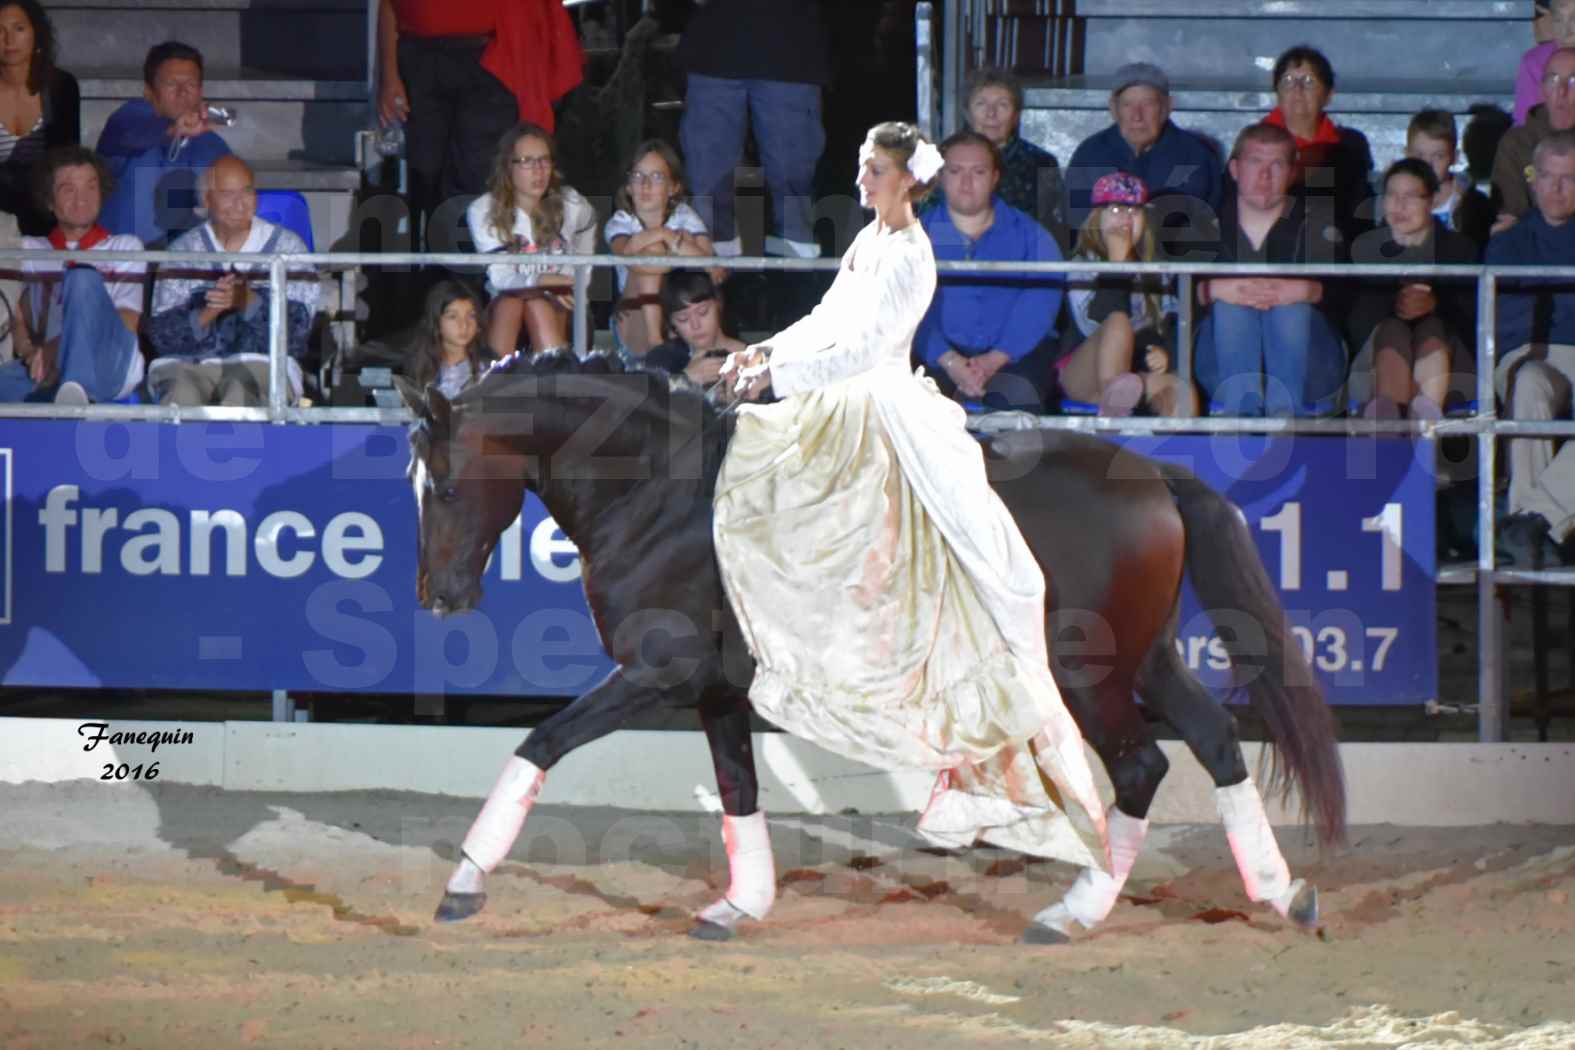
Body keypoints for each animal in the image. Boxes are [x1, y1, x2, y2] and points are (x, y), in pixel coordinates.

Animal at [393, 352, 1341, 944]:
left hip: (1087, 675)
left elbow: (540, 742)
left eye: (445, 485)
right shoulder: (715, 690)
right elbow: (738, 792)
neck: (665, 493)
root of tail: (1154, 476)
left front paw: (465, 881)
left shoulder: (655, 672)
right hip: (1143, 661)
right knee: (1214, 741)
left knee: (1143, 765)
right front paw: (740, 906)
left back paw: (1073, 913)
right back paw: (1279, 892)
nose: (437, 595)